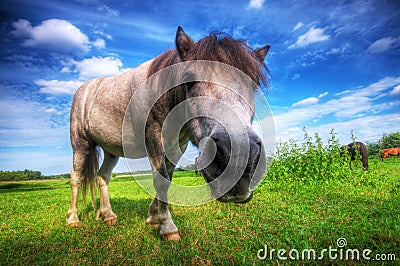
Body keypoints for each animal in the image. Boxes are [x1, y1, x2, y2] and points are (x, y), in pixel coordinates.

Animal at [67, 27, 270, 241]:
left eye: (253, 86)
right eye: (189, 81)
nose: (239, 159)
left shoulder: (177, 146)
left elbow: (167, 179)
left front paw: (153, 217)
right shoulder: (153, 137)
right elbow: (160, 179)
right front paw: (168, 227)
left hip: (111, 151)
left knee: (102, 177)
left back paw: (107, 215)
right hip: (80, 144)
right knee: (76, 177)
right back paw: (72, 219)